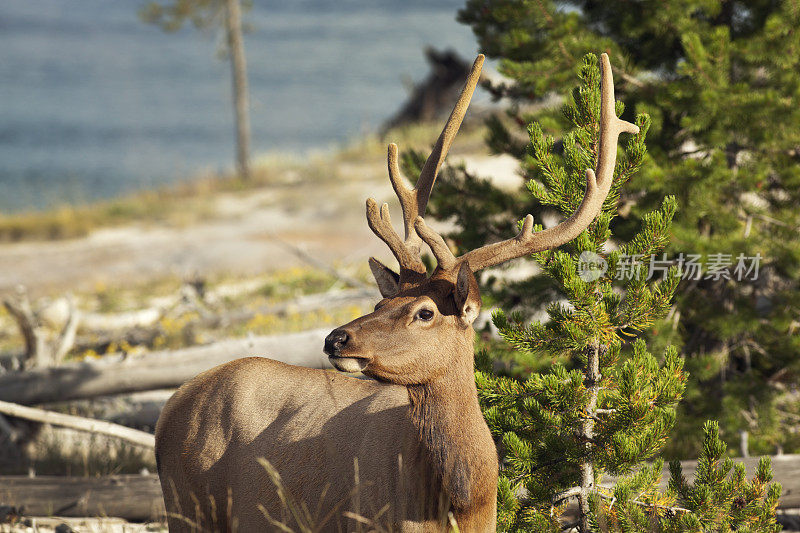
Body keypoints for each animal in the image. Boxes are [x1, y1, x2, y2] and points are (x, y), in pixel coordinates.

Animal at [158, 54, 636, 532]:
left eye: (425, 312)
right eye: (379, 302)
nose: (335, 338)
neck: (463, 504)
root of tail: (171, 407)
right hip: (187, 509)